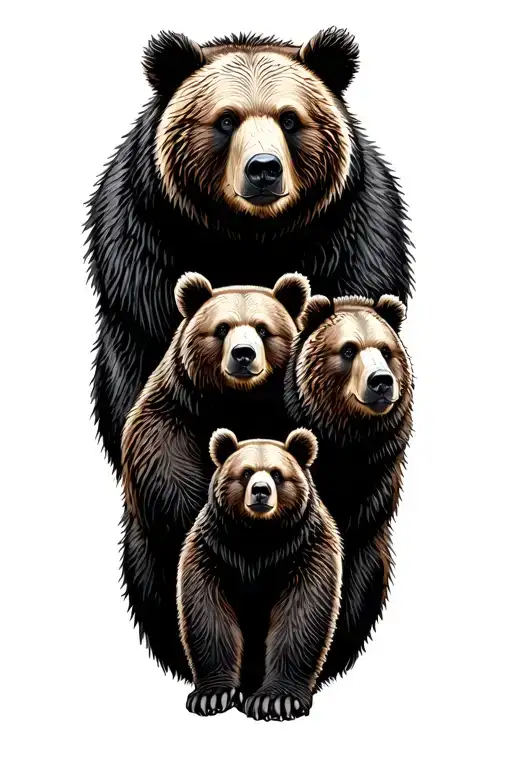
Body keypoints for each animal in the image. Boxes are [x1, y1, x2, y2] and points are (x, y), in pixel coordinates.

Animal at [84, 27, 413, 476]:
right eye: (226, 119)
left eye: (290, 119)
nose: (263, 168)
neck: (250, 237)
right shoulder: (147, 259)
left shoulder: (351, 242)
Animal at [121, 270, 310, 679]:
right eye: (222, 328)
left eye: (263, 329)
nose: (243, 354)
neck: (240, 402)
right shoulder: (176, 409)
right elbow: (164, 468)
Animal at [177, 427, 342, 721]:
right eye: (245, 473)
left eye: (277, 474)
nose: (261, 491)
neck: (259, 539)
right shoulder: (215, 549)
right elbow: (208, 611)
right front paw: (212, 695)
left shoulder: (305, 547)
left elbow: (302, 613)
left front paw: (276, 700)